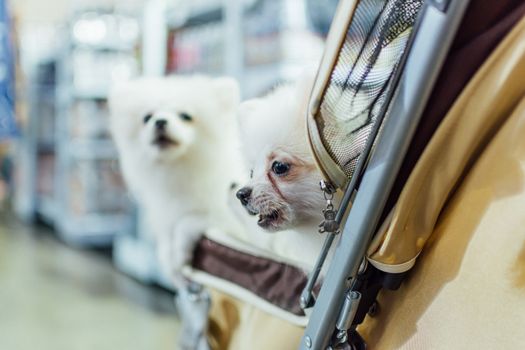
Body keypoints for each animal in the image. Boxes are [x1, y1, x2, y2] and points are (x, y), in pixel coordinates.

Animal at [111, 75, 243, 284]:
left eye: (185, 116)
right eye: (147, 117)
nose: (159, 121)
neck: (178, 171)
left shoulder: (228, 220)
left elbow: (187, 221)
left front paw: (179, 254)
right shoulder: (166, 215)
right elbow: (166, 237)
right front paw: (169, 262)